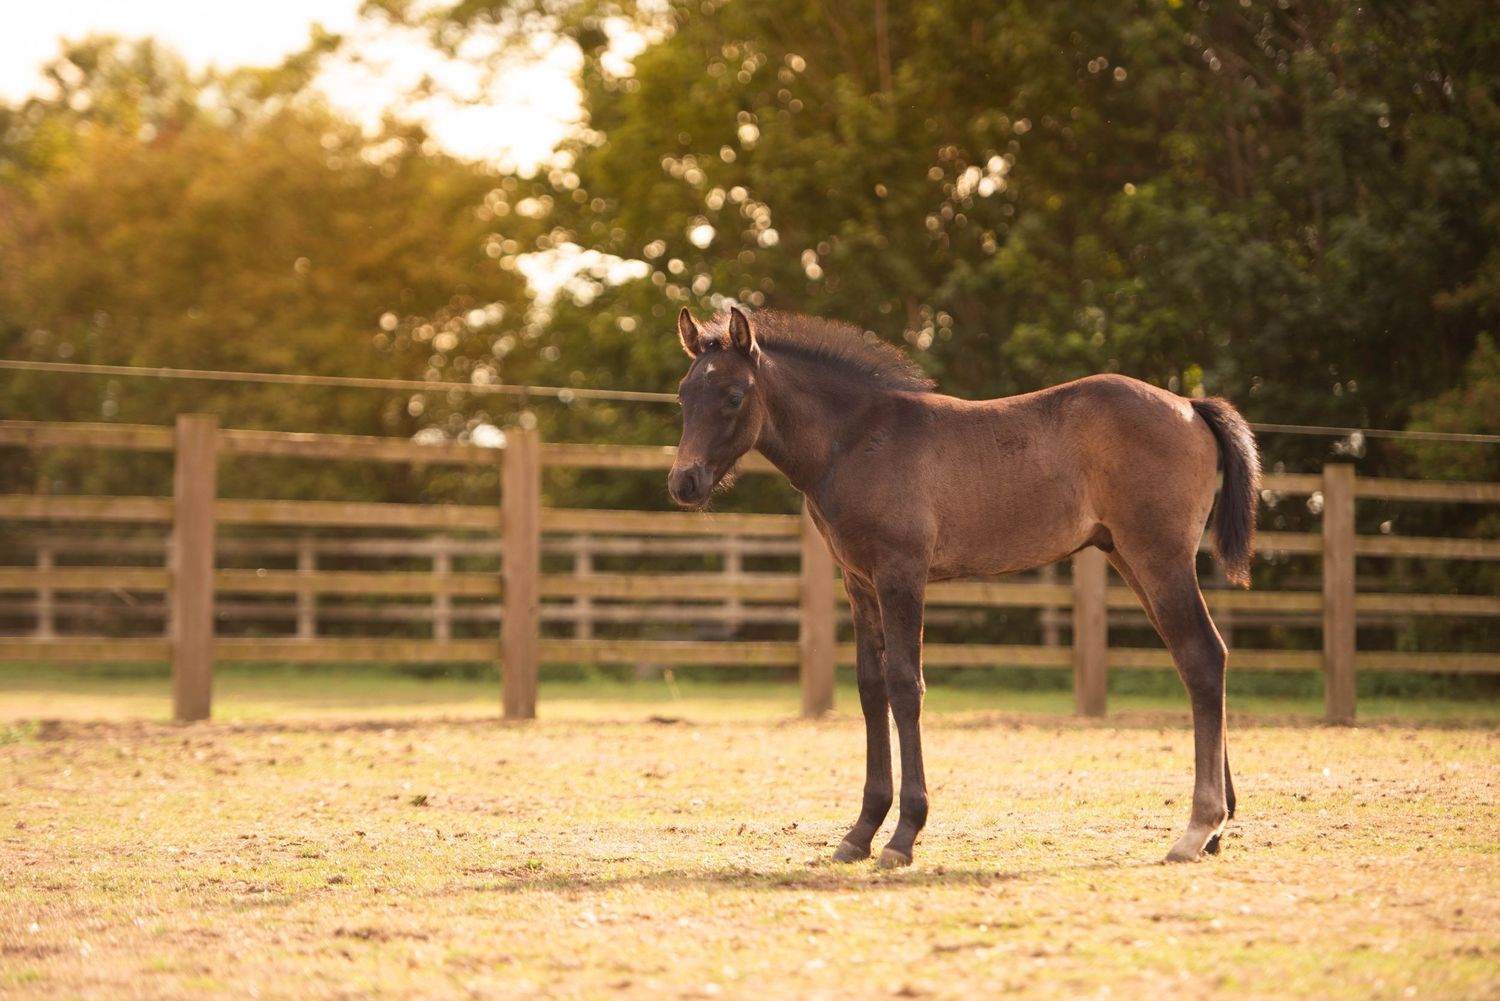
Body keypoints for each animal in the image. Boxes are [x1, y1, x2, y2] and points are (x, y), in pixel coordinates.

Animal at [667, 306, 1261, 867]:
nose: (683, 483)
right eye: (683, 395)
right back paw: (1217, 830)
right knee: (1197, 659)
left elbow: (905, 687)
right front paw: (860, 832)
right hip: (1130, 558)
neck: (856, 440)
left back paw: (1197, 828)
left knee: (1204, 655)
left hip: (1158, 556)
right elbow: (870, 689)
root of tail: (1191, 405)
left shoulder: (901, 573)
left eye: (734, 396)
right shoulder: (859, 583)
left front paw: (903, 836)